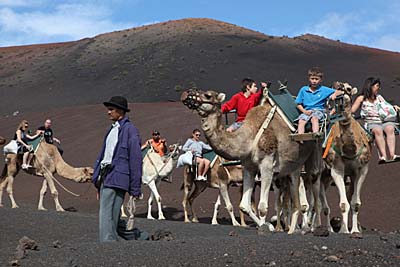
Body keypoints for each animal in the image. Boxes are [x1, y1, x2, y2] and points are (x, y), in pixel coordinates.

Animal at [181, 89, 322, 233]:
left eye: (208, 95)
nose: (186, 95)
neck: (249, 138)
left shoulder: (267, 165)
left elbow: (262, 207)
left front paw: (265, 228)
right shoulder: (248, 167)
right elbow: (244, 205)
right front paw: (269, 226)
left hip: (315, 148)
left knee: (314, 180)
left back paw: (312, 227)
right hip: (294, 166)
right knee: (296, 201)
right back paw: (294, 230)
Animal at [322, 82, 372, 234]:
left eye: (348, 89)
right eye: (333, 90)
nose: (337, 99)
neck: (350, 150)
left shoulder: (361, 169)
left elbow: (355, 203)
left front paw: (355, 230)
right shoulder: (336, 169)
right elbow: (343, 204)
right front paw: (344, 230)